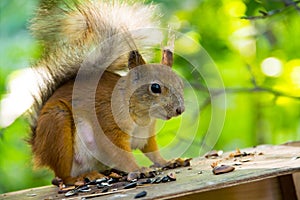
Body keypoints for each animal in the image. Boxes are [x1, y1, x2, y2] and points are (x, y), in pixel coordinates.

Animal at [28, 0, 188, 185]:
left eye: (180, 83)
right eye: (155, 88)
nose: (180, 110)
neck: (141, 116)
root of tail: (38, 148)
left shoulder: (146, 135)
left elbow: (153, 153)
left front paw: (169, 162)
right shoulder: (108, 123)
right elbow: (120, 153)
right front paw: (138, 169)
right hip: (57, 124)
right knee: (64, 175)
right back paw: (82, 177)